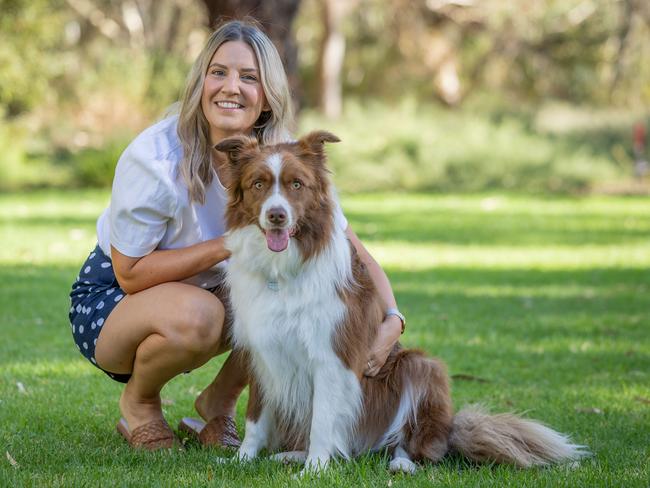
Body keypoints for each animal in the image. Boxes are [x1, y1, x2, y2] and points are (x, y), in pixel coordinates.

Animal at [215, 132, 584, 474]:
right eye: (258, 184)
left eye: (296, 184)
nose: (277, 215)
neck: (282, 271)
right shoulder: (263, 354)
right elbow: (255, 419)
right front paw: (241, 459)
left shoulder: (332, 356)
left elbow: (322, 419)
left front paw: (315, 470)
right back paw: (292, 454)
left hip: (422, 367)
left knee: (415, 446)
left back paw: (400, 463)